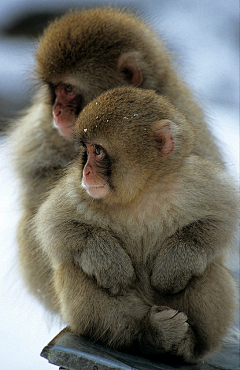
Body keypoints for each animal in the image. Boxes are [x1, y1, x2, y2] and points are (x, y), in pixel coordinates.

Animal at [7, 6, 225, 312]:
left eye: (68, 89)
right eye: (54, 89)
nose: (57, 111)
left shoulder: (181, 115)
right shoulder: (44, 127)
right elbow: (39, 182)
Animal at [33, 87, 238, 364]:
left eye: (98, 151)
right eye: (87, 150)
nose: (86, 172)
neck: (140, 191)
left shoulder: (194, 179)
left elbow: (224, 214)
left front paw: (173, 265)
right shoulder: (79, 190)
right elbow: (54, 224)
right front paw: (110, 263)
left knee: (208, 267)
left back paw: (187, 345)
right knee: (73, 268)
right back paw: (146, 335)